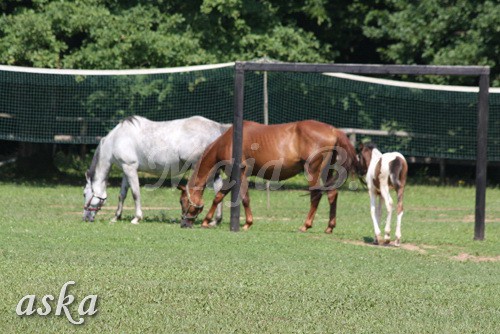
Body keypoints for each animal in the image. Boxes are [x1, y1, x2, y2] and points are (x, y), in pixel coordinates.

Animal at [82, 115, 230, 224]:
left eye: (84, 194)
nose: (85, 218)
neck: (116, 139)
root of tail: (217, 127)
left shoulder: (130, 168)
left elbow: (135, 193)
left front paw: (136, 218)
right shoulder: (126, 170)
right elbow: (122, 195)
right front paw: (116, 217)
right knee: (218, 189)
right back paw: (215, 220)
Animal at [178, 120, 362, 232]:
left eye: (182, 201)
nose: (184, 223)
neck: (228, 141)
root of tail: (333, 130)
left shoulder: (241, 173)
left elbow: (244, 198)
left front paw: (248, 223)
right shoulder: (232, 176)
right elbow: (219, 196)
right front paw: (206, 221)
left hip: (313, 171)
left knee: (316, 195)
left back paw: (305, 225)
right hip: (326, 173)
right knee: (332, 194)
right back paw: (329, 227)